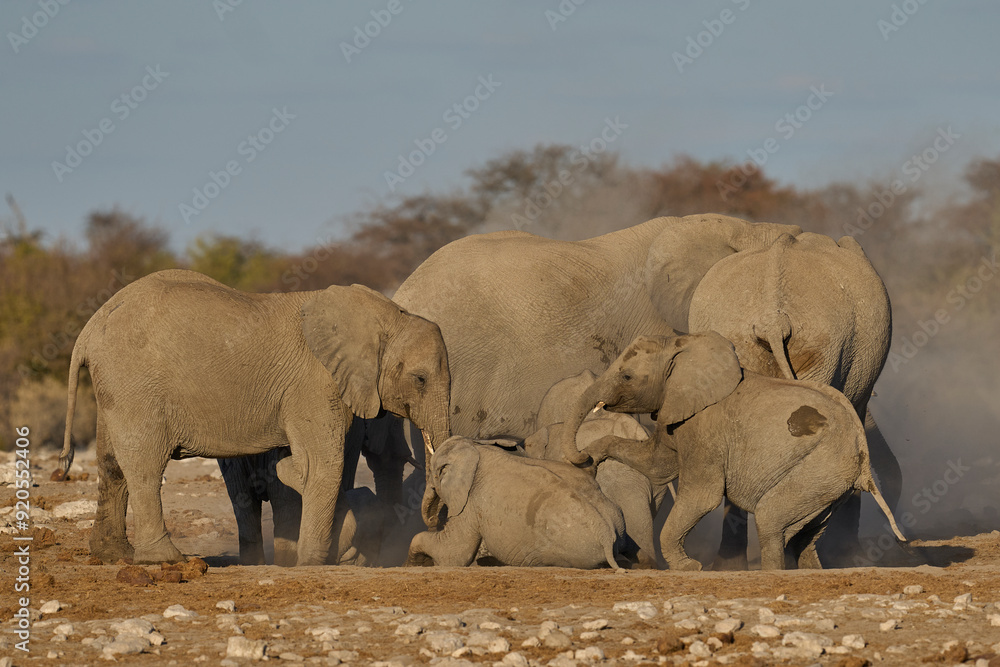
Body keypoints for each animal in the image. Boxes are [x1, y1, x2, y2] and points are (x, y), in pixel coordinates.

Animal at [59, 269, 450, 565]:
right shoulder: (314, 385)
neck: (386, 315)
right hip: (134, 384)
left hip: (114, 387)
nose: (435, 521)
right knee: (145, 465)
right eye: (420, 379)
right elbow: (321, 466)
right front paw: (312, 562)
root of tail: (88, 329)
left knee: (112, 465)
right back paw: (167, 559)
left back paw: (114, 555)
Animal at [406, 436, 626, 568]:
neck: (478, 446)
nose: (435, 520)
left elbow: (454, 555)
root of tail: (607, 537)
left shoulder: (469, 503)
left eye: (434, 475)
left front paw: (416, 562)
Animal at [564, 332, 905, 571]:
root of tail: (862, 458)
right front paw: (590, 459)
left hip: (820, 469)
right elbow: (657, 464)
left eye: (627, 376)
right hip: (830, 486)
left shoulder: (705, 429)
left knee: (770, 519)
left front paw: (690, 568)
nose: (580, 458)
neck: (683, 347)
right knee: (806, 535)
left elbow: (702, 495)